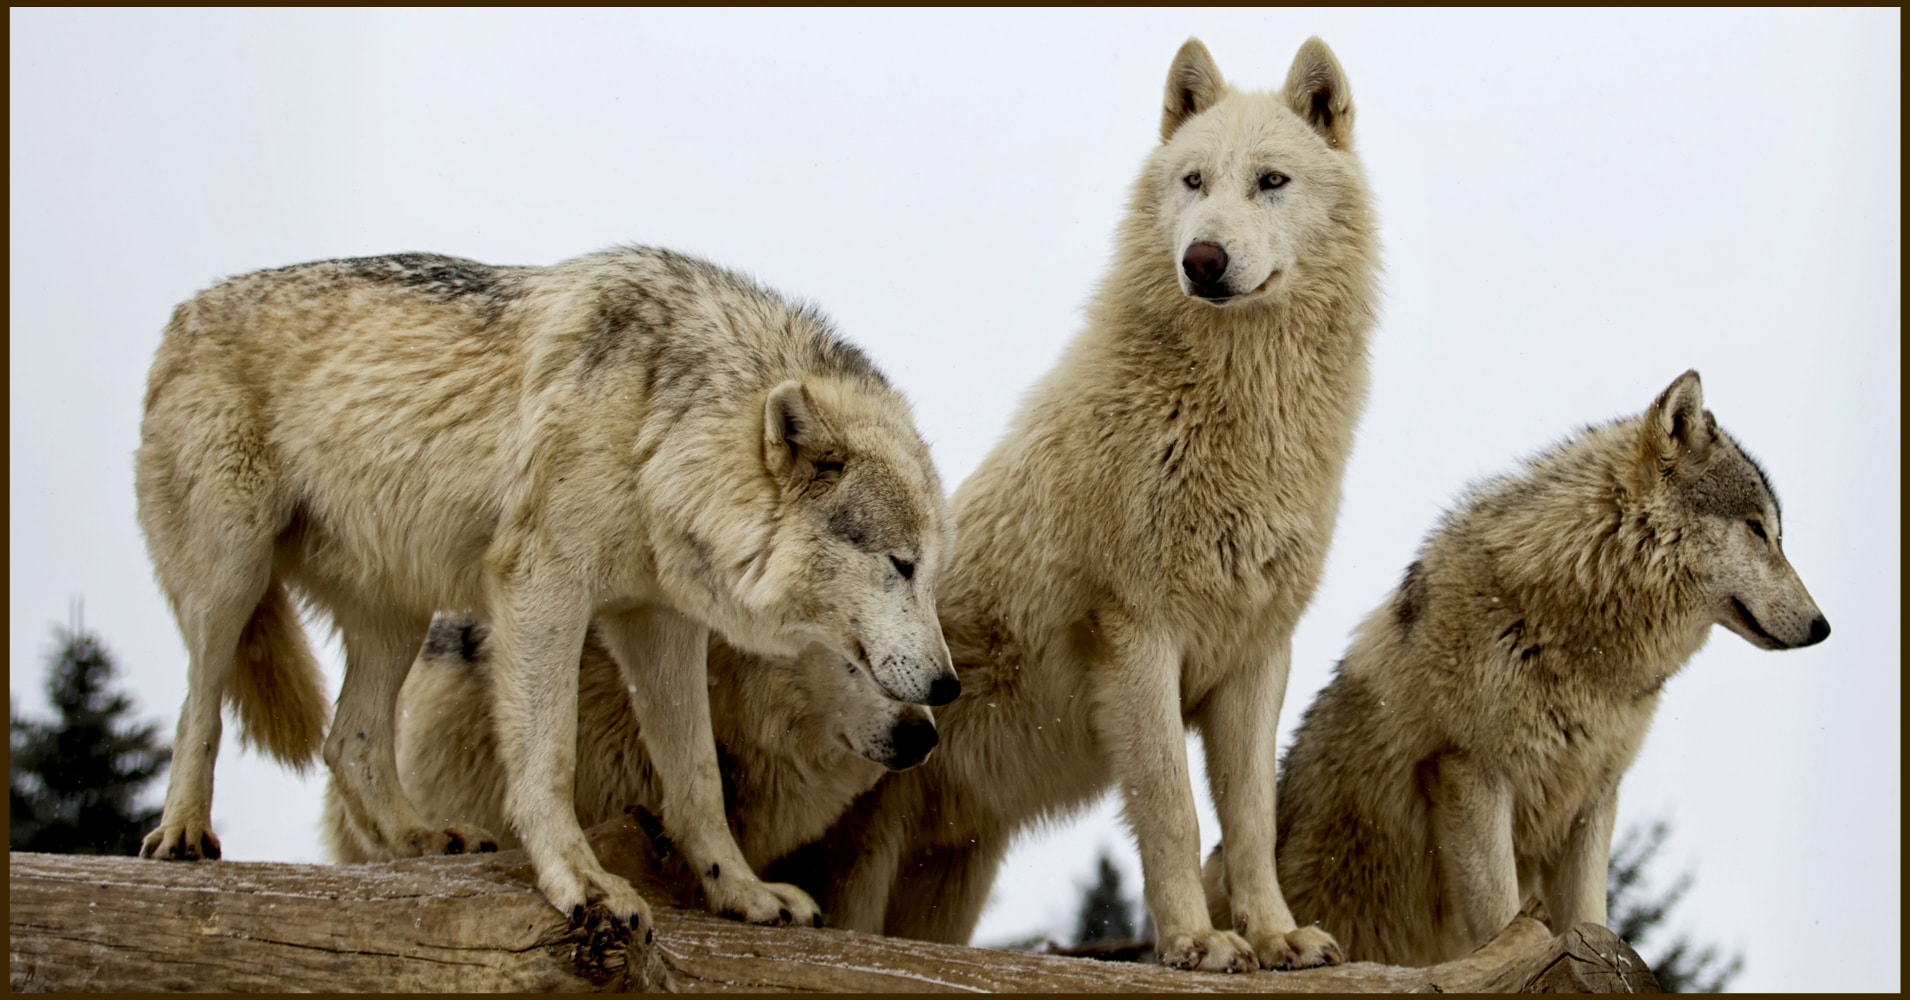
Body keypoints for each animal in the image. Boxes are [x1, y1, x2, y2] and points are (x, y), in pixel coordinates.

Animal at [778, 38, 1377, 972]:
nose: (1203, 260)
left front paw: (1277, 935)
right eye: (1195, 181)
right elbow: (1173, 812)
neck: (1234, 417)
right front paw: (1196, 943)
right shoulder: (1137, 640)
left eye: (1271, 181)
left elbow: (1252, 820)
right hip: (860, 863)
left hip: (950, 883)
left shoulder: (1258, 656)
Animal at [1202, 370, 1831, 966]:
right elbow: (1504, 920)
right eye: (1757, 529)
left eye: (1775, 533)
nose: (1823, 627)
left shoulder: (1594, 799)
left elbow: (1592, 920)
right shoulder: (1471, 776)